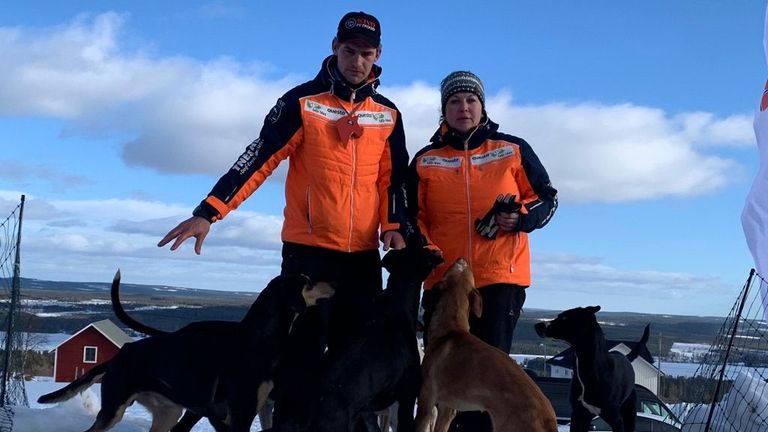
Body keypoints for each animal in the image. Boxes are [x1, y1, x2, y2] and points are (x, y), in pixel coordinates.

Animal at [39, 272, 332, 432]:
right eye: (307, 282)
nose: (334, 284)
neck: (257, 338)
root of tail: (120, 355)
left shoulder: (258, 410)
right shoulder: (241, 413)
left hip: (168, 414)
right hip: (114, 410)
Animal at [416, 258, 556, 432]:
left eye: (452, 268)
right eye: (467, 271)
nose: (462, 259)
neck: (452, 329)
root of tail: (548, 418)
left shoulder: (426, 402)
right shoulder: (447, 409)